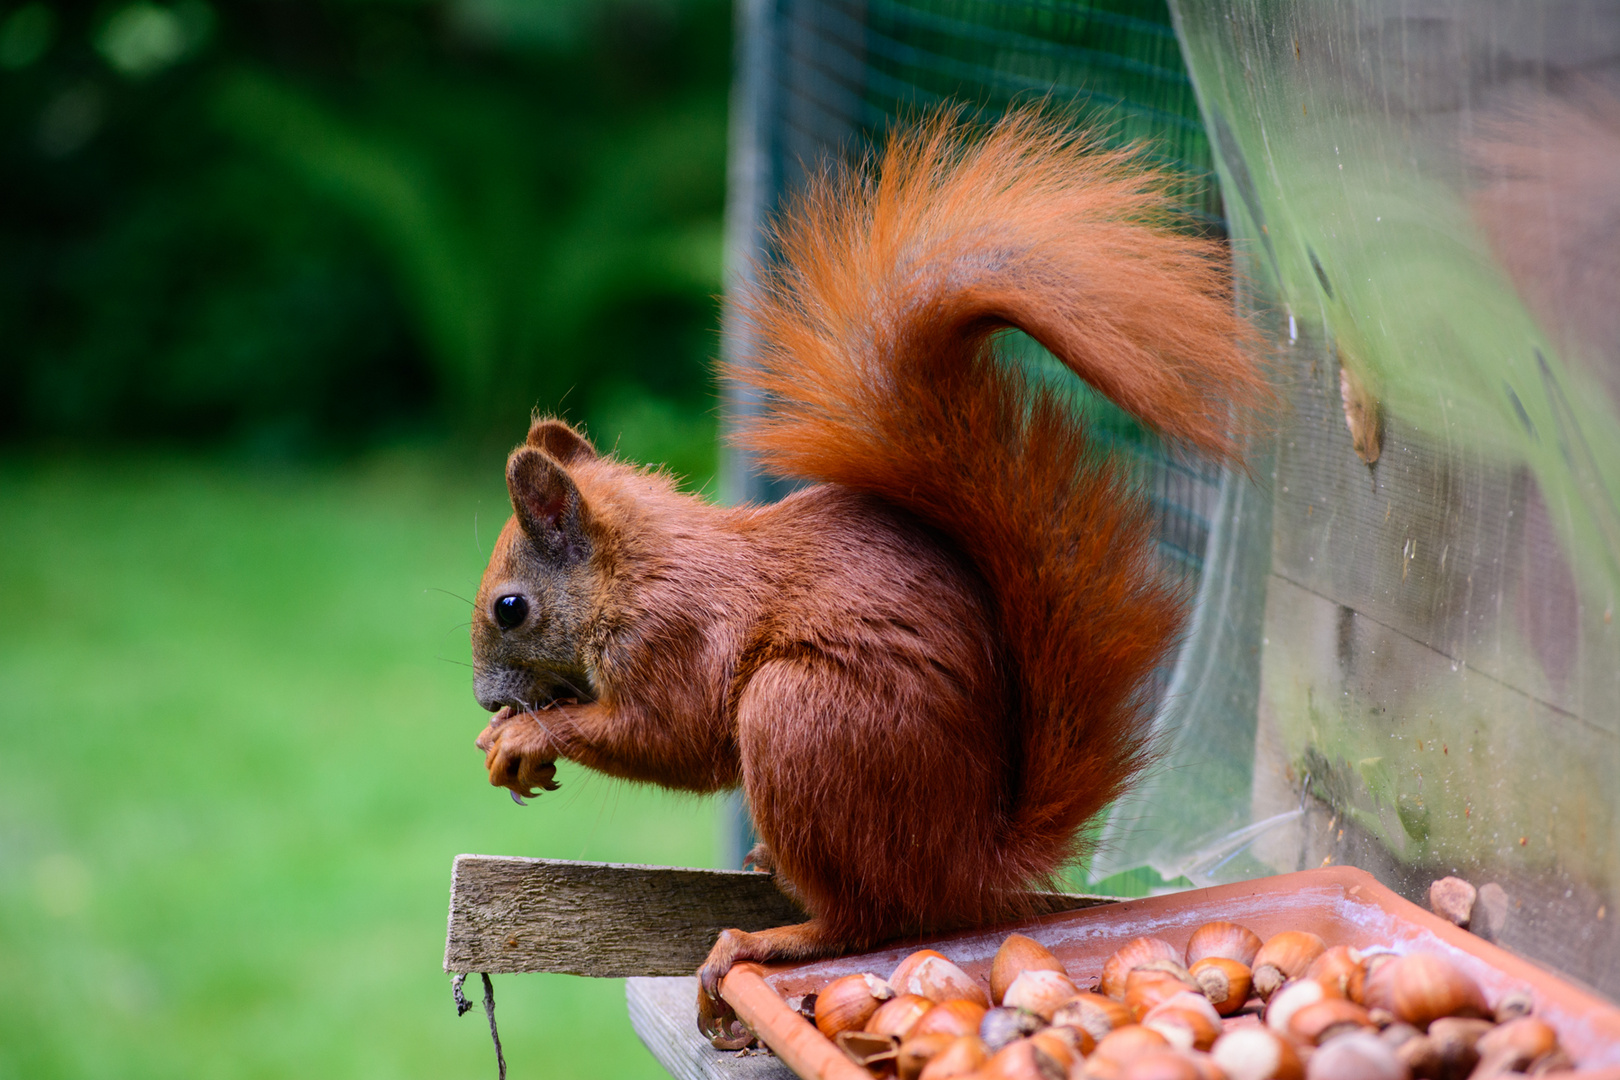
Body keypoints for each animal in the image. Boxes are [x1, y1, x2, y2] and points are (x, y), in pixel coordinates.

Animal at [466, 107, 1263, 1036]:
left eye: (510, 607)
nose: (484, 700)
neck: (631, 573)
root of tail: (973, 859)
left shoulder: (675, 636)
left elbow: (672, 737)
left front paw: (524, 735)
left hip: (802, 718)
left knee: (871, 920)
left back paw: (768, 942)